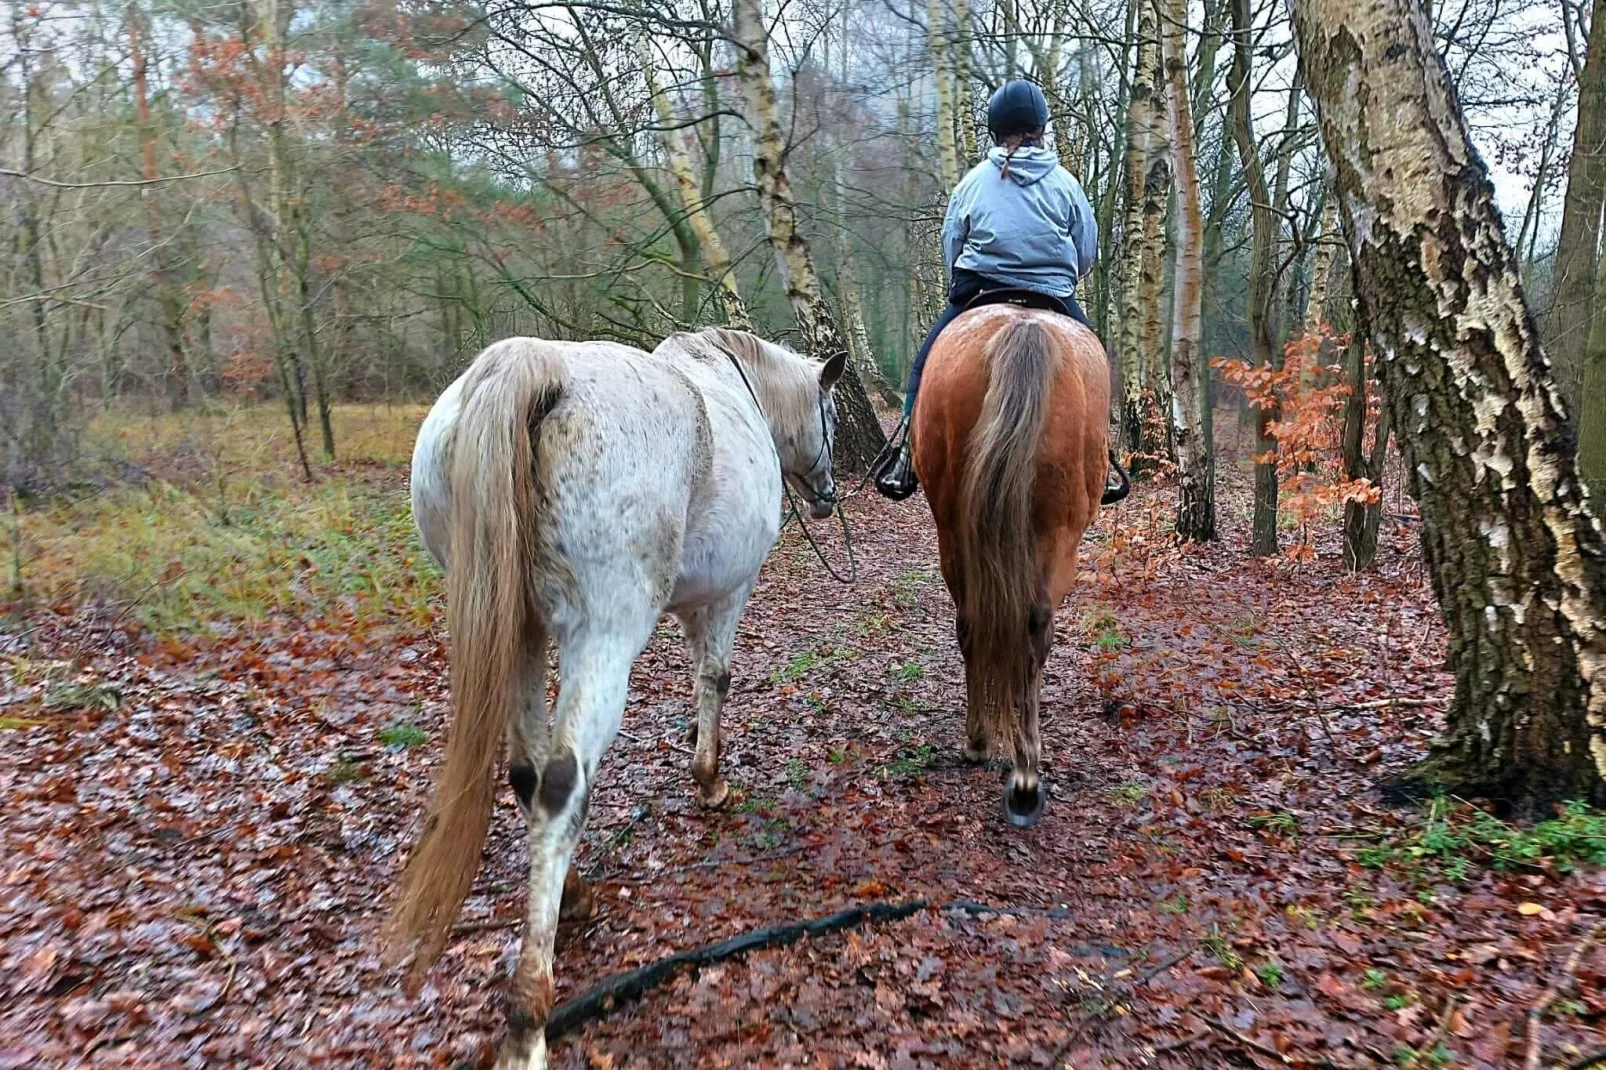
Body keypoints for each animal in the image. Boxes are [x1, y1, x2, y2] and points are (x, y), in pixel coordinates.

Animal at [391, 327, 841, 1066]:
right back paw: (528, 1016)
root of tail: (529, 368)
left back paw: (570, 897)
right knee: (560, 784)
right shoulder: (725, 593)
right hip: (602, 636)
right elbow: (715, 678)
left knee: (528, 773)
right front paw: (710, 779)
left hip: (519, 632)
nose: (829, 494)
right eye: (830, 414)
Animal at [912, 300, 1124, 822]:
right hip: (1057, 534)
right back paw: (1016, 765)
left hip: (958, 528)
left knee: (979, 621)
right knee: (1030, 625)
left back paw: (995, 751)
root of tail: (1024, 329)